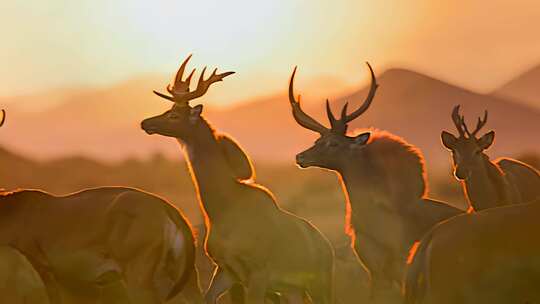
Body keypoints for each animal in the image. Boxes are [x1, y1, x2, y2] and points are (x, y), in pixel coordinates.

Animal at [141, 55, 336, 304]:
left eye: (175, 115)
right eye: (168, 109)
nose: (146, 123)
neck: (223, 207)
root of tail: (327, 248)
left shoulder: (258, 272)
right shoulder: (225, 270)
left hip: (319, 284)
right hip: (292, 289)